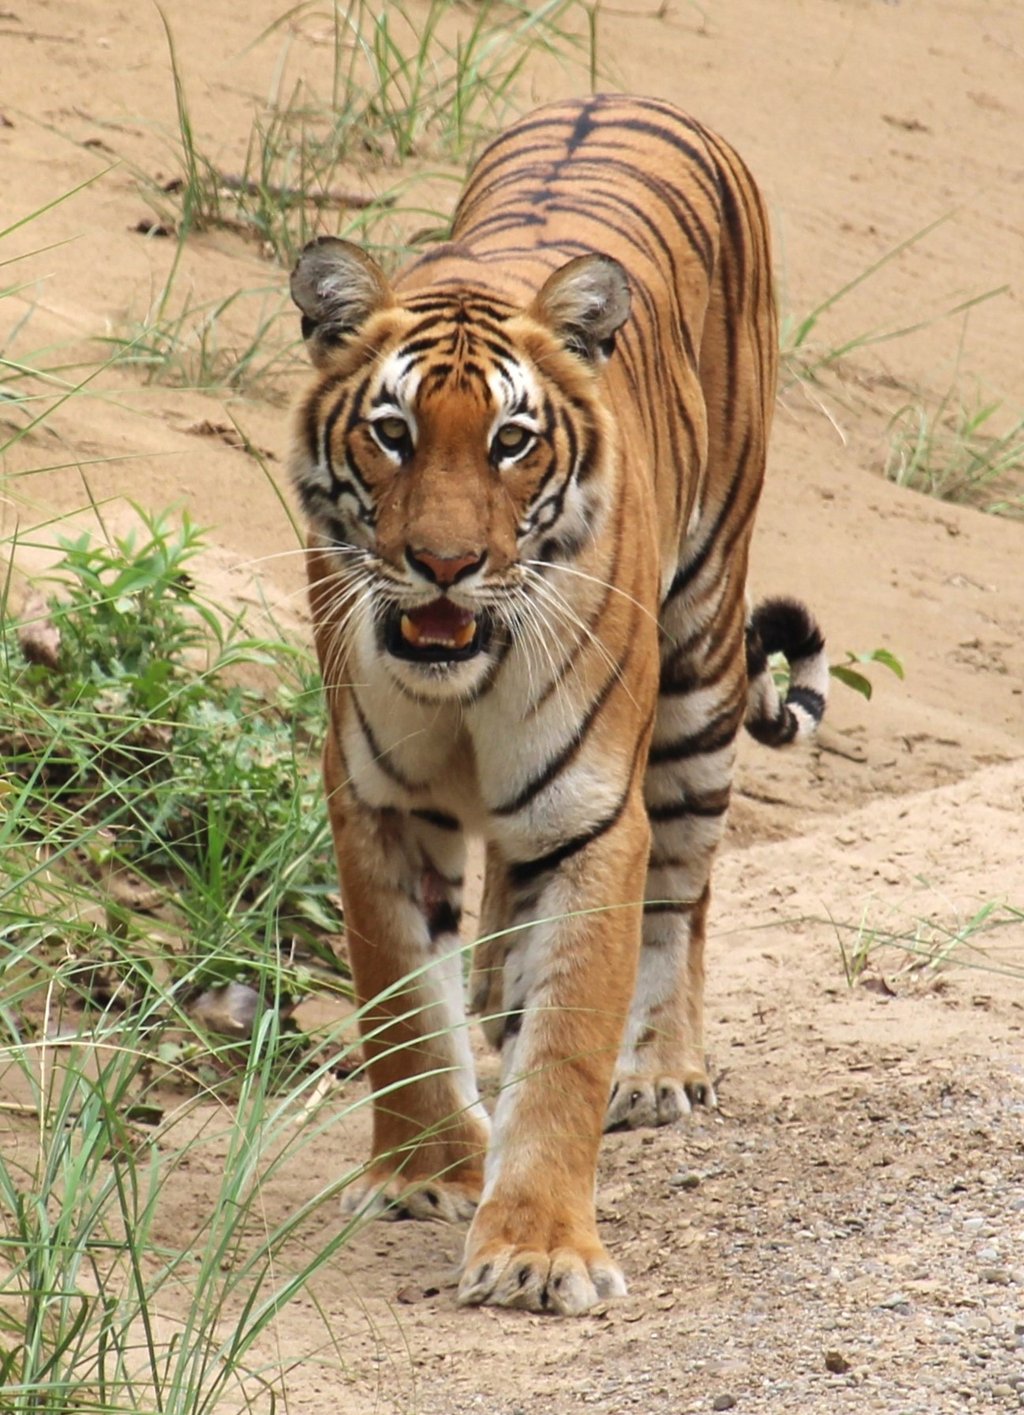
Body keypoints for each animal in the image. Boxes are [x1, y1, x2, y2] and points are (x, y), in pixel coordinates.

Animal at [288, 93, 828, 1317]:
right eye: (391, 432)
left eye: (510, 441)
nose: (444, 564)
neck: (462, 679)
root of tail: (630, 98)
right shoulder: (376, 797)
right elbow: (401, 1000)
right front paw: (425, 1172)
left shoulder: (588, 813)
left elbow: (570, 1039)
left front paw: (537, 1247)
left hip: (701, 661)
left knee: (684, 891)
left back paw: (659, 1067)